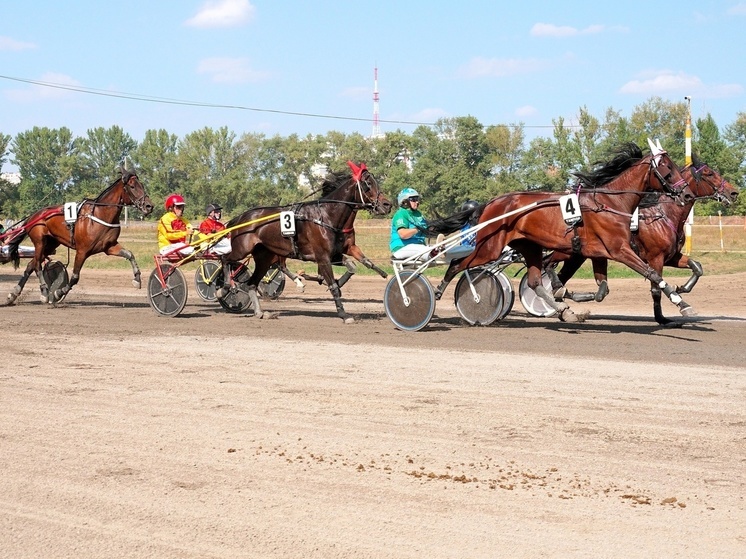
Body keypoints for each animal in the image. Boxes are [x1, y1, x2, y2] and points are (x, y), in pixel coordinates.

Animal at [2, 160, 154, 304]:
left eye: (142, 185)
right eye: (132, 186)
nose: (149, 206)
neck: (100, 214)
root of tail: (33, 216)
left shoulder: (109, 247)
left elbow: (130, 254)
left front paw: (137, 279)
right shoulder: (82, 251)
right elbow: (75, 277)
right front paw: (58, 293)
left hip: (50, 244)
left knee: (31, 265)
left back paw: (13, 294)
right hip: (39, 241)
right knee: (38, 265)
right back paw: (44, 292)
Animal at [219, 162, 390, 324]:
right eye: (368, 183)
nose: (387, 204)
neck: (327, 216)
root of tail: (240, 218)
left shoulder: (338, 252)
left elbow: (355, 264)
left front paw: (380, 273)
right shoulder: (323, 257)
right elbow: (333, 286)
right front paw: (343, 314)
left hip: (264, 257)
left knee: (252, 283)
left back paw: (260, 312)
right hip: (242, 248)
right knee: (225, 259)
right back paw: (224, 288)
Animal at [424, 140, 692, 324]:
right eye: (668, 168)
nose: (687, 193)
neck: (609, 202)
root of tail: (491, 202)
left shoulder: (599, 253)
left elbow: (603, 289)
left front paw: (568, 298)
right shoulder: (620, 250)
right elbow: (652, 274)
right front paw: (682, 303)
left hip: (528, 247)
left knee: (534, 281)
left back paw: (563, 308)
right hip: (489, 247)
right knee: (457, 264)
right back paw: (437, 291)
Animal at [536, 155, 736, 326]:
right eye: (709, 173)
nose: (734, 192)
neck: (663, 215)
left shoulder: (671, 256)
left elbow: (697, 266)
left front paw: (682, 288)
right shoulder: (656, 258)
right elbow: (656, 288)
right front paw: (663, 317)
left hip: (577, 256)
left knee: (559, 274)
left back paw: (563, 306)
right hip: (567, 252)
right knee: (548, 265)